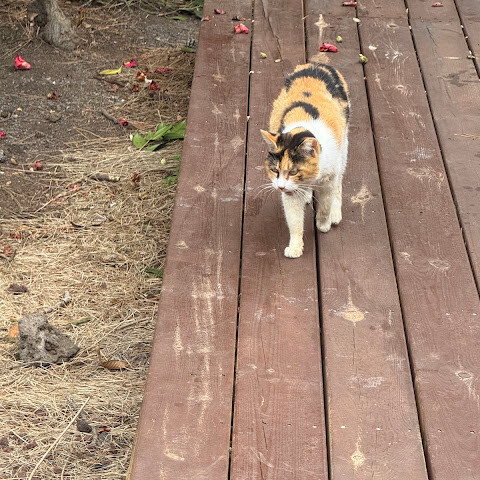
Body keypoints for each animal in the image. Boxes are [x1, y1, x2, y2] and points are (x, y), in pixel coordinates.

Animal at [260, 60, 350, 258]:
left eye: (293, 171)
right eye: (274, 170)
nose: (280, 187)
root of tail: (316, 63)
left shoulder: (329, 179)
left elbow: (325, 204)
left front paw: (323, 224)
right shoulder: (290, 194)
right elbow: (294, 221)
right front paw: (295, 248)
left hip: (344, 146)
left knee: (340, 180)